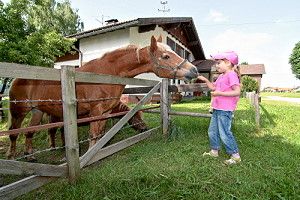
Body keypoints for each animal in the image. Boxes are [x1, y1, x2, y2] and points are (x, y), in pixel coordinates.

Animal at [7, 35, 198, 159]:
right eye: (165, 56)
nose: (194, 70)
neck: (106, 73)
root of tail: (16, 79)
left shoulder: (105, 113)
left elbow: (99, 134)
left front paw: (98, 151)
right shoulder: (96, 111)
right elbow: (93, 135)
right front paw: (89, 156)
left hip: (37, 111)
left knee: (29, 132)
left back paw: (30, 154)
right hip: (19, 111)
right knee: (13, 132)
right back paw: (12, 155)